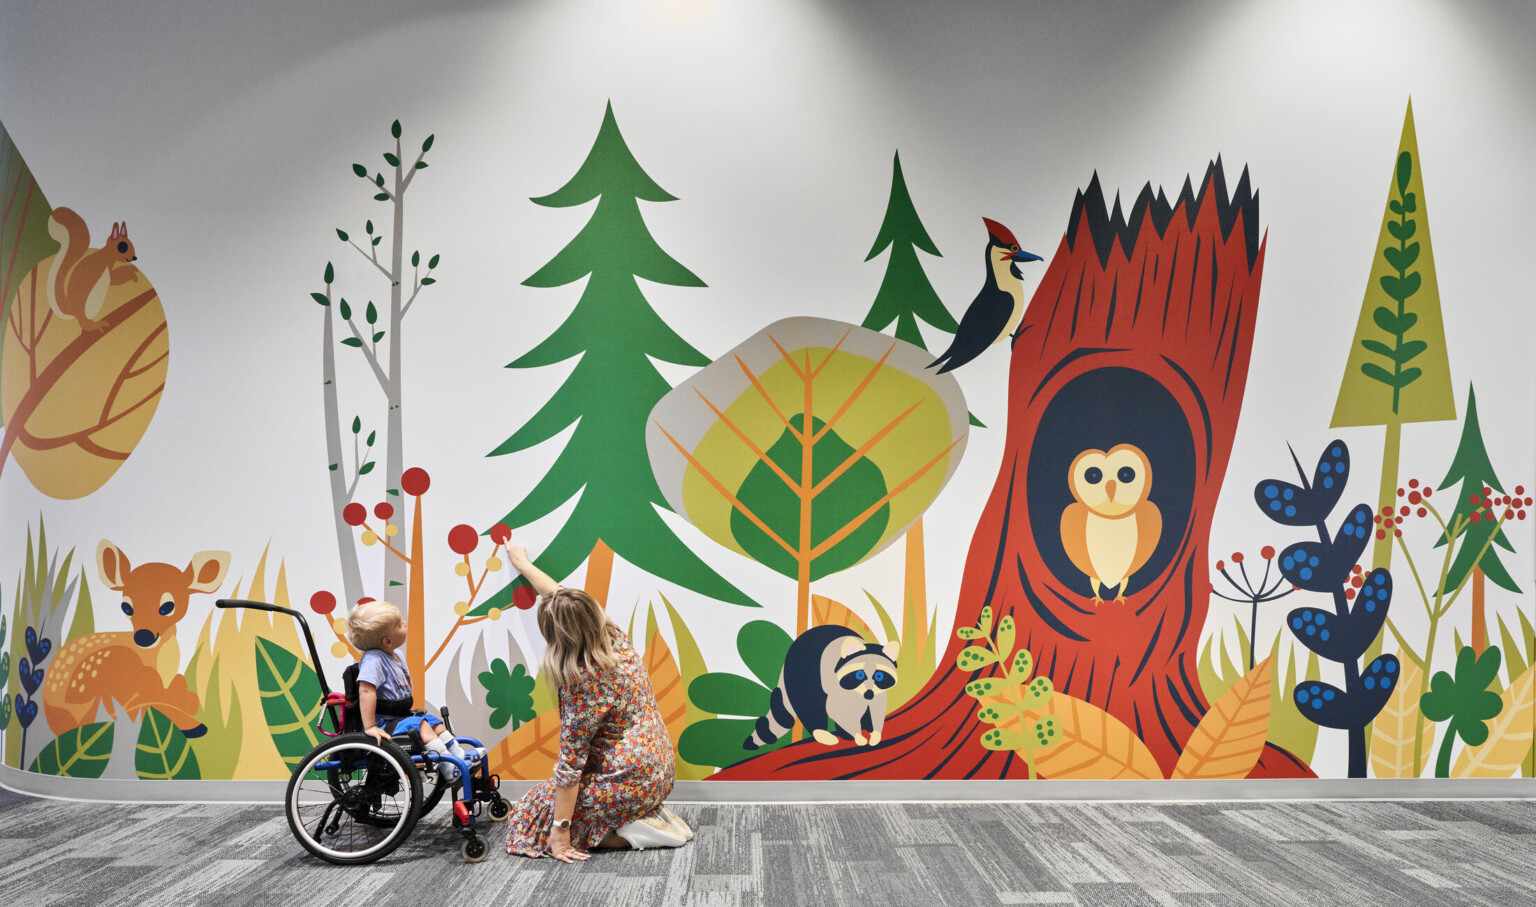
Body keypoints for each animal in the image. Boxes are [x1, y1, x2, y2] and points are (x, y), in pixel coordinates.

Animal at [740, 630, 897, 750]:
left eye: (879, 676)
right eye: (859, 675)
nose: (869, 693)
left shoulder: (877, 692)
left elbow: (876, 708)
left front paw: (874, 732)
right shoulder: (838, 687)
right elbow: (836, 711)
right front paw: (857, 734)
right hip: (804, 676)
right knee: (810, 706)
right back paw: (822, 732)